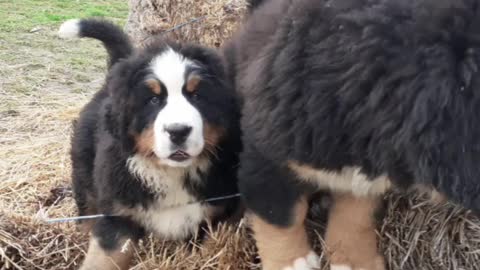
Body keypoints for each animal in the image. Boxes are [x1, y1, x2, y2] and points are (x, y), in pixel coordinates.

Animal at [58, 19, 242, 270]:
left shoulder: (212, 217)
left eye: (197, 96)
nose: (178, 131)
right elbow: (103, 259)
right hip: (84, 170)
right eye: (153, 100)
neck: (171, 174)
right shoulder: (119, 215)